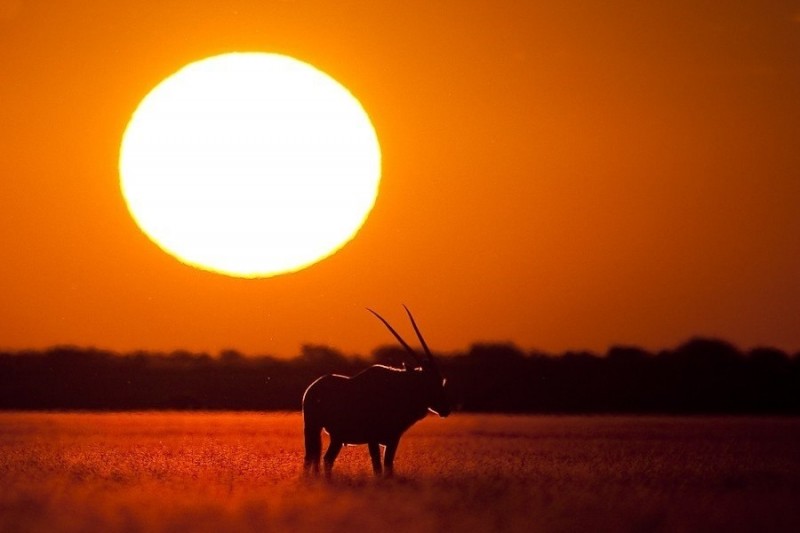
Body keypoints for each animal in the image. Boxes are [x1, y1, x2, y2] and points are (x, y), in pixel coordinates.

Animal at [302, 306, 450, 476]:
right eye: (428, 382)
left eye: (441, 381)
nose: (446, 408)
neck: (399, 388)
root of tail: (312, 388)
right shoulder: (372, 439)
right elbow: (378, 467)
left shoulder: (393, 439)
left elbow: (388, 466)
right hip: (313, 428)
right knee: (311, 458)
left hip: (336, 438)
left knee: (326, 459)